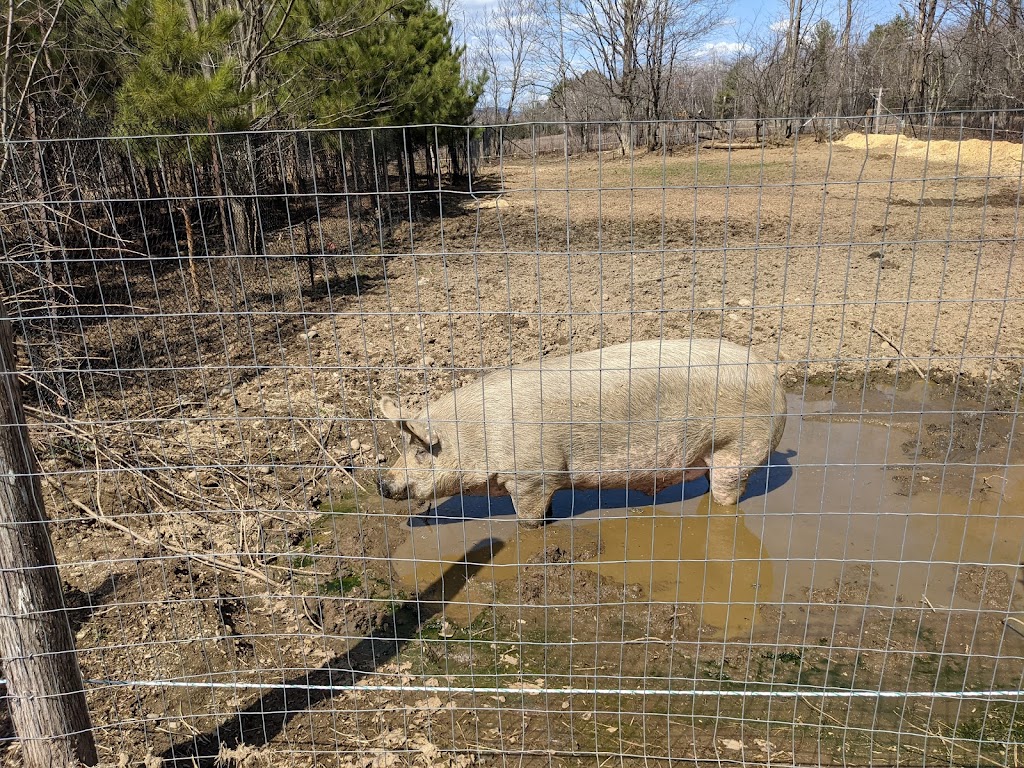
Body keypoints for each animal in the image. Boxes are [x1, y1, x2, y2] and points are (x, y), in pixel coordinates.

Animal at [380, 337, 786, 528]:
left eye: (421, 450)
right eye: (401, 445)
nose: (382, 482)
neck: (478, 436)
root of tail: (774, 380)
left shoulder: (531, 476)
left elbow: (529, 520)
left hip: (740, 447)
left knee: (729, 490)